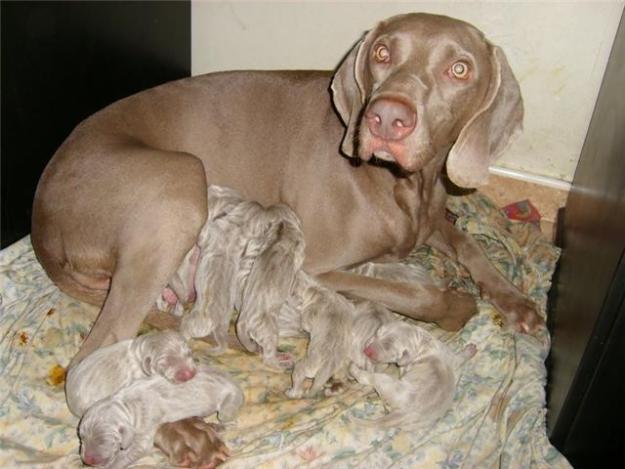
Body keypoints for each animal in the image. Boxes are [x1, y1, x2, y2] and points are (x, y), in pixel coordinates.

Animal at [78, 362, 244, 468]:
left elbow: (126, 455)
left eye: (103, 441)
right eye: (82, 437)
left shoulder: (144, 434)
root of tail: (232, 380)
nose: (87, 460)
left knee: (230, 420)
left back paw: (219, 425)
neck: (126, 405)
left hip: (228, 405)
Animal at [348, 320, 476, 426]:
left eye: (388, 348)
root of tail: (404, 413)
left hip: (385, 381)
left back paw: (354, 369)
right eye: (376, 333)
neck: (421, 343)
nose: (366, 350)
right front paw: (470, 350)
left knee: (366, 378)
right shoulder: (451, 358)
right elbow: (459, 359)